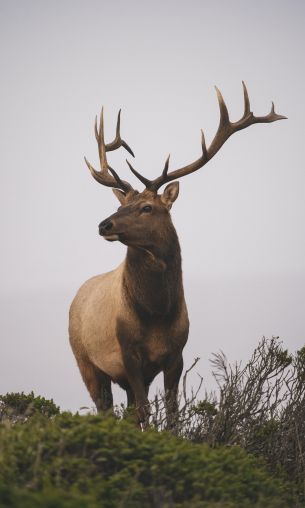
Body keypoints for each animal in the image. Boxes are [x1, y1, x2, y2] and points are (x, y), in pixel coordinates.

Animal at [69, 82, 284, 424]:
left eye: (147, 207)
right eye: (121, 205)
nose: (104, 224)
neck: (157, 313)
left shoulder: (176, 355)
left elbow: (171, 413)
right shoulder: (128, 353)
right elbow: (145, 412)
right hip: (85, 361)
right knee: (106, 408)